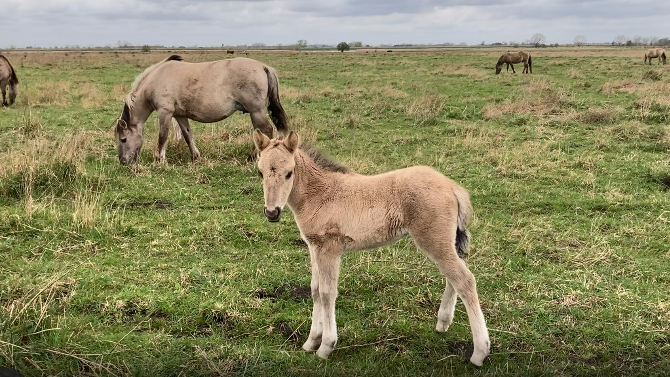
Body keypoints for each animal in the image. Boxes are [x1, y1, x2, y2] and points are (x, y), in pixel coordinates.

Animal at [116, 54, 288, 164]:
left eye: (123, 139)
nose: (123, 162)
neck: (157, 79)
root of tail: (264, 67)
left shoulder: (165, 113)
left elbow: (162, 136)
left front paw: (160, 160)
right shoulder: (179, 115)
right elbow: (187, 135)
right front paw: (195, 157)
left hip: (256, 112)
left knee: (266, 130)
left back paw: (256, 158)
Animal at [255, 130, 490, 368]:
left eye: (289, 173)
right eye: (260, 172)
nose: (272, 212)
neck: (319, 194)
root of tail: (452, 186)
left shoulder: (329, 249)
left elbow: (327, 293)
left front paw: (326, 346)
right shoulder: (314, 247)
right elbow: (314, 290)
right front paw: (311, 342)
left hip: (434, 240)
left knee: (464, 280)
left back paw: (479, 352)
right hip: (445, 242)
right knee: (454, 276)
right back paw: (443, 322)